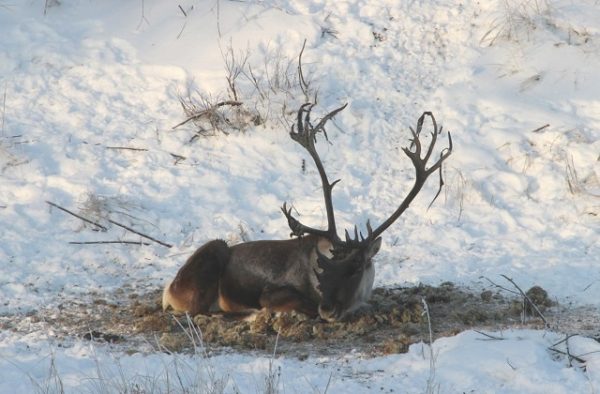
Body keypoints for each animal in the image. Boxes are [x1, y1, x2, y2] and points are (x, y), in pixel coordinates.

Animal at [162, 103, 452, 322]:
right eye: (324, 266)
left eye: (357, 266)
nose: (328, 309)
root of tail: (169, 289)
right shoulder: (271, 293)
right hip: (213, 255)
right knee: (199, 311)